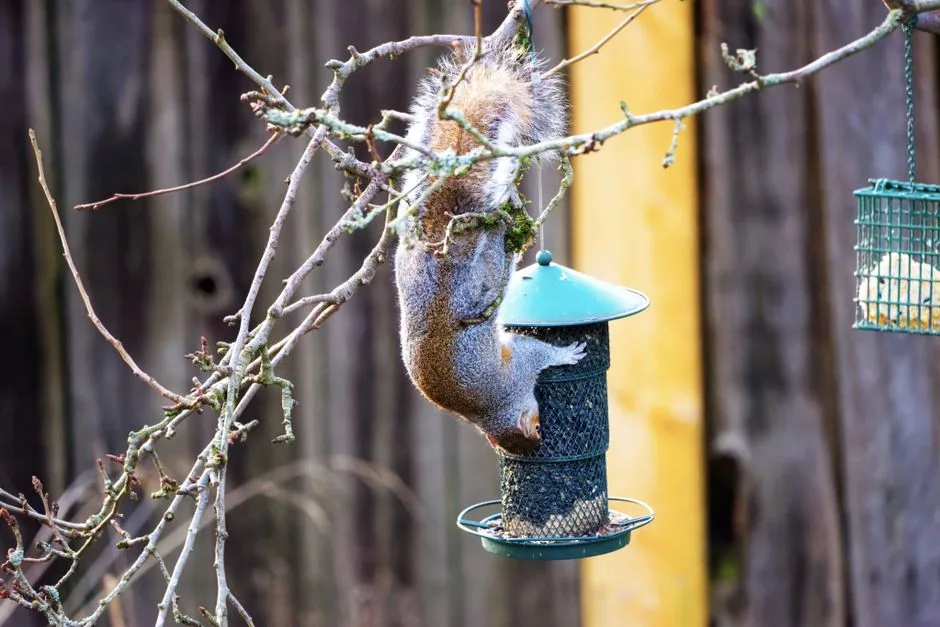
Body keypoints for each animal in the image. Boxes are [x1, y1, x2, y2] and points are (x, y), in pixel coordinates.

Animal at [394, 38, 586, 455]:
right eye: (536, 428)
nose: (539, 443)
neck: (492, 409)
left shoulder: (516, 371)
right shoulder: (517, 372)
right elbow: (537, 351)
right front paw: (568, 353)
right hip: (483, 261)